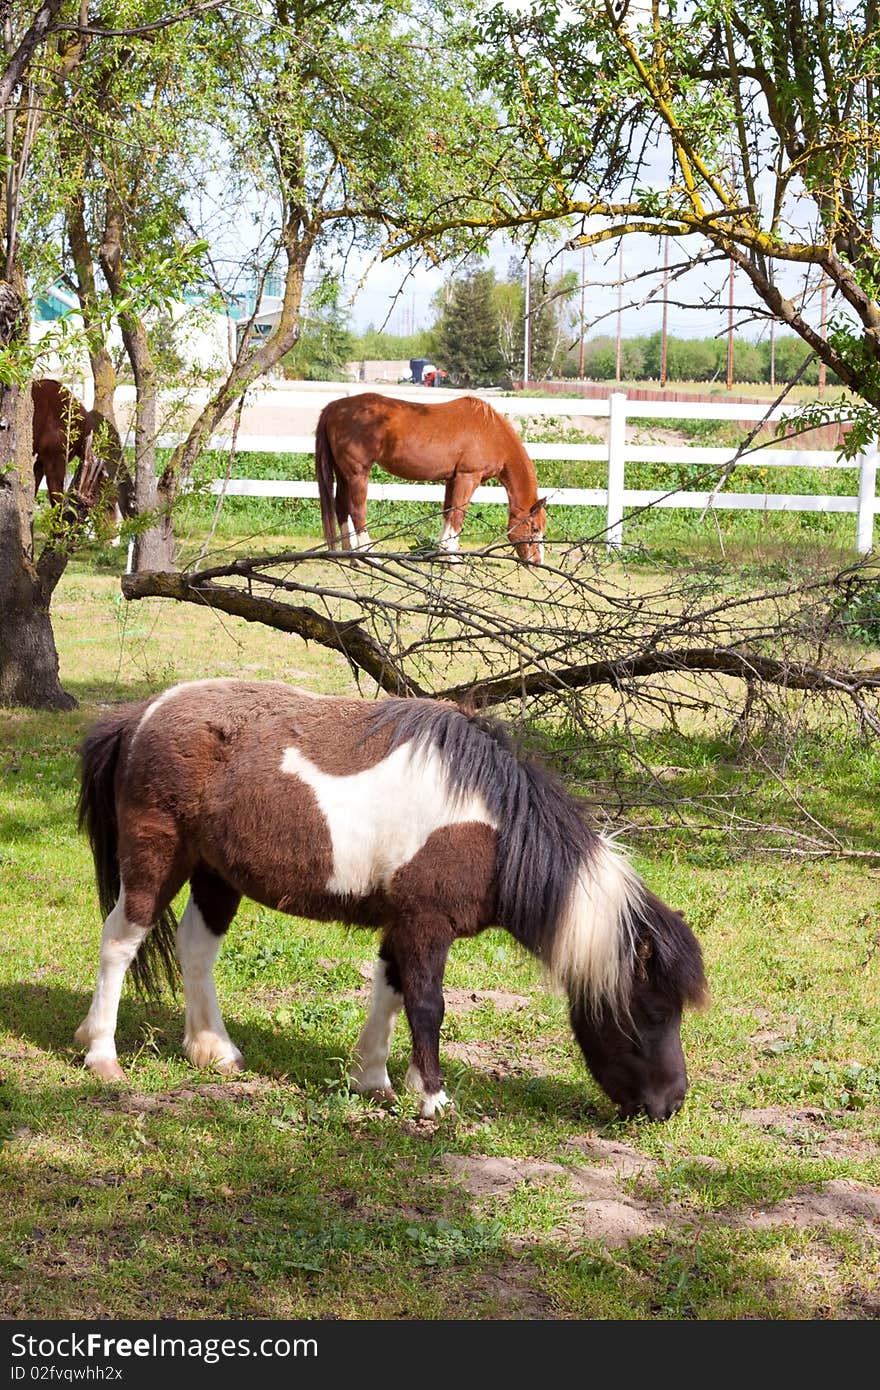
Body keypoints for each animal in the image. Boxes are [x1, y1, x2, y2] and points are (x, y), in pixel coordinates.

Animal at [75, 678, 706, 1123]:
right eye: (654, 1012)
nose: (671, 1104)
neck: (493, 825)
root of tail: (140, 716)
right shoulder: (427, 925)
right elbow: (428, 1005)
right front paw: (432, 1098)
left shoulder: (401, 923)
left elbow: (390, 991)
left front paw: (373, 1079)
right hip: (156, 860)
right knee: (120, 942)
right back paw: (102, 1056)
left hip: (215, 875)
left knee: (196, 950)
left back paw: (214, 1051)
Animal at [312, 391, 544, 564]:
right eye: (534, 529)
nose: (537, 562)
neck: (491, 432)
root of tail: (335, 407)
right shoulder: (468, 478)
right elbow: (458, 515)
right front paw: (453, 560)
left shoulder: (452, 479)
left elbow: (448, 512)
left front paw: (441, 553)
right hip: (357, 473)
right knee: (357, 510)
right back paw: (367, 556)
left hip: (343, 473)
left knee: (340, 506)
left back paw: (348, 554)